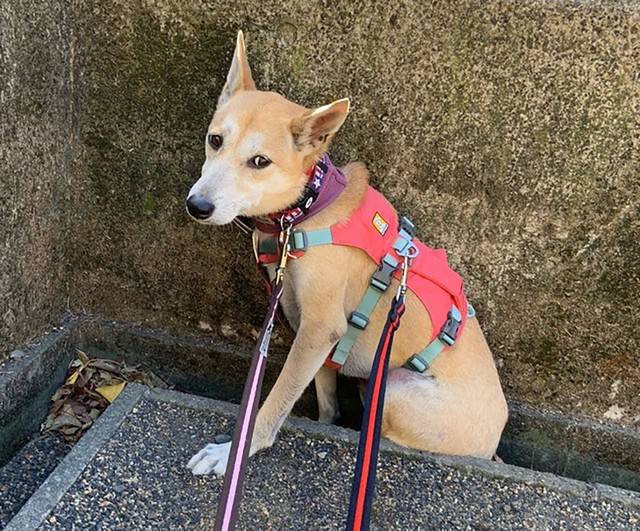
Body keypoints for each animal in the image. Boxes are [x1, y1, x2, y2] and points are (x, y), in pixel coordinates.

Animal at [186, 31, 510, 476]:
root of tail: (493, 444)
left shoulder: (320, 329)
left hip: (392, 389)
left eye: (260, 161)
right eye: (215, 139)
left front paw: (233, 452)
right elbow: (324, 399)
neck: (308, 209)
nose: (197, 205)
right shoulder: (312, 331)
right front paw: (326, 420)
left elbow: (274, 402)